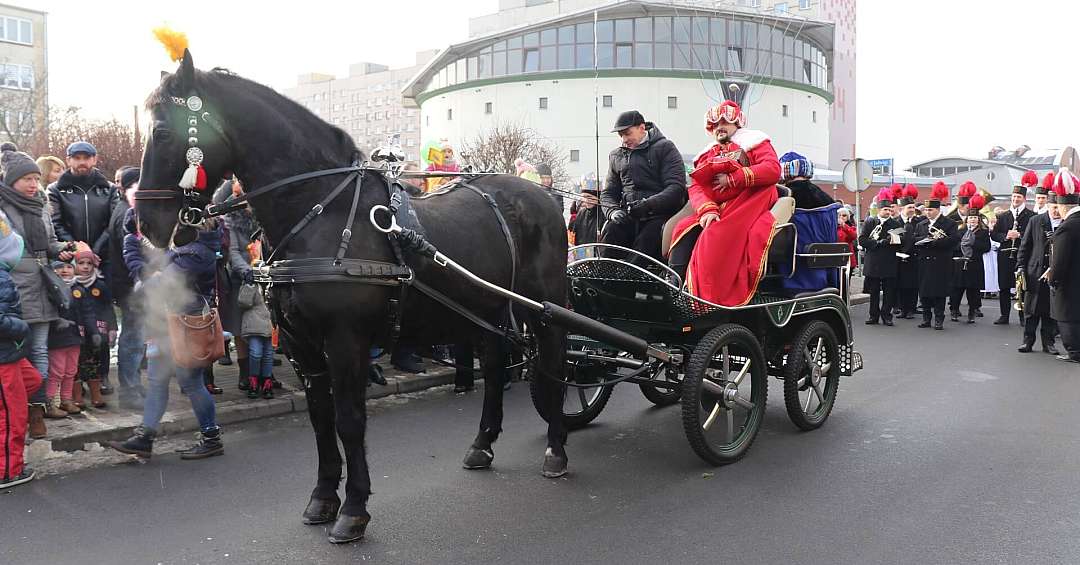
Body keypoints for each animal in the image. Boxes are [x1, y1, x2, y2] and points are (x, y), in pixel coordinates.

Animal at [139, 50, 570, 546]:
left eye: (162, 131)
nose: (146, 222)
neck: (324, 210)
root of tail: (543, 193)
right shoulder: (302, 345)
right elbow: (321, 421)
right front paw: (324, 498)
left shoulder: (346, 342)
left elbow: (349, 420)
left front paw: (354, 509)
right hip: (487, 309)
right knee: (497, 368)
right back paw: (483, 444)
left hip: (546, 308)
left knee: (555, 364)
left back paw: (557, 448)